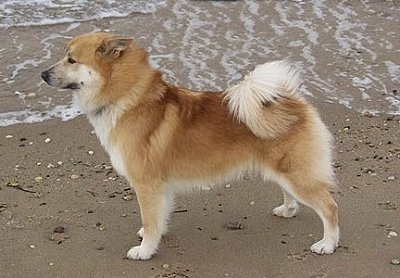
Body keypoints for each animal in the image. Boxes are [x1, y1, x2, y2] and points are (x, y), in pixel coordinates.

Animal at [40, 32, 340, 260]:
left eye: (71, 59)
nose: (42, 74)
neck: (127, 98)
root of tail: (292, 101)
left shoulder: (146, 184)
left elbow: (150, 220)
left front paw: (145, 250)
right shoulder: (160, 187)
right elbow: (158, 217)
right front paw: (154, 236)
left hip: (298, 174)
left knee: (329, 207)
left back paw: (327, 244)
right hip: (282, 171)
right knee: (291, 194)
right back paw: (288, 210)